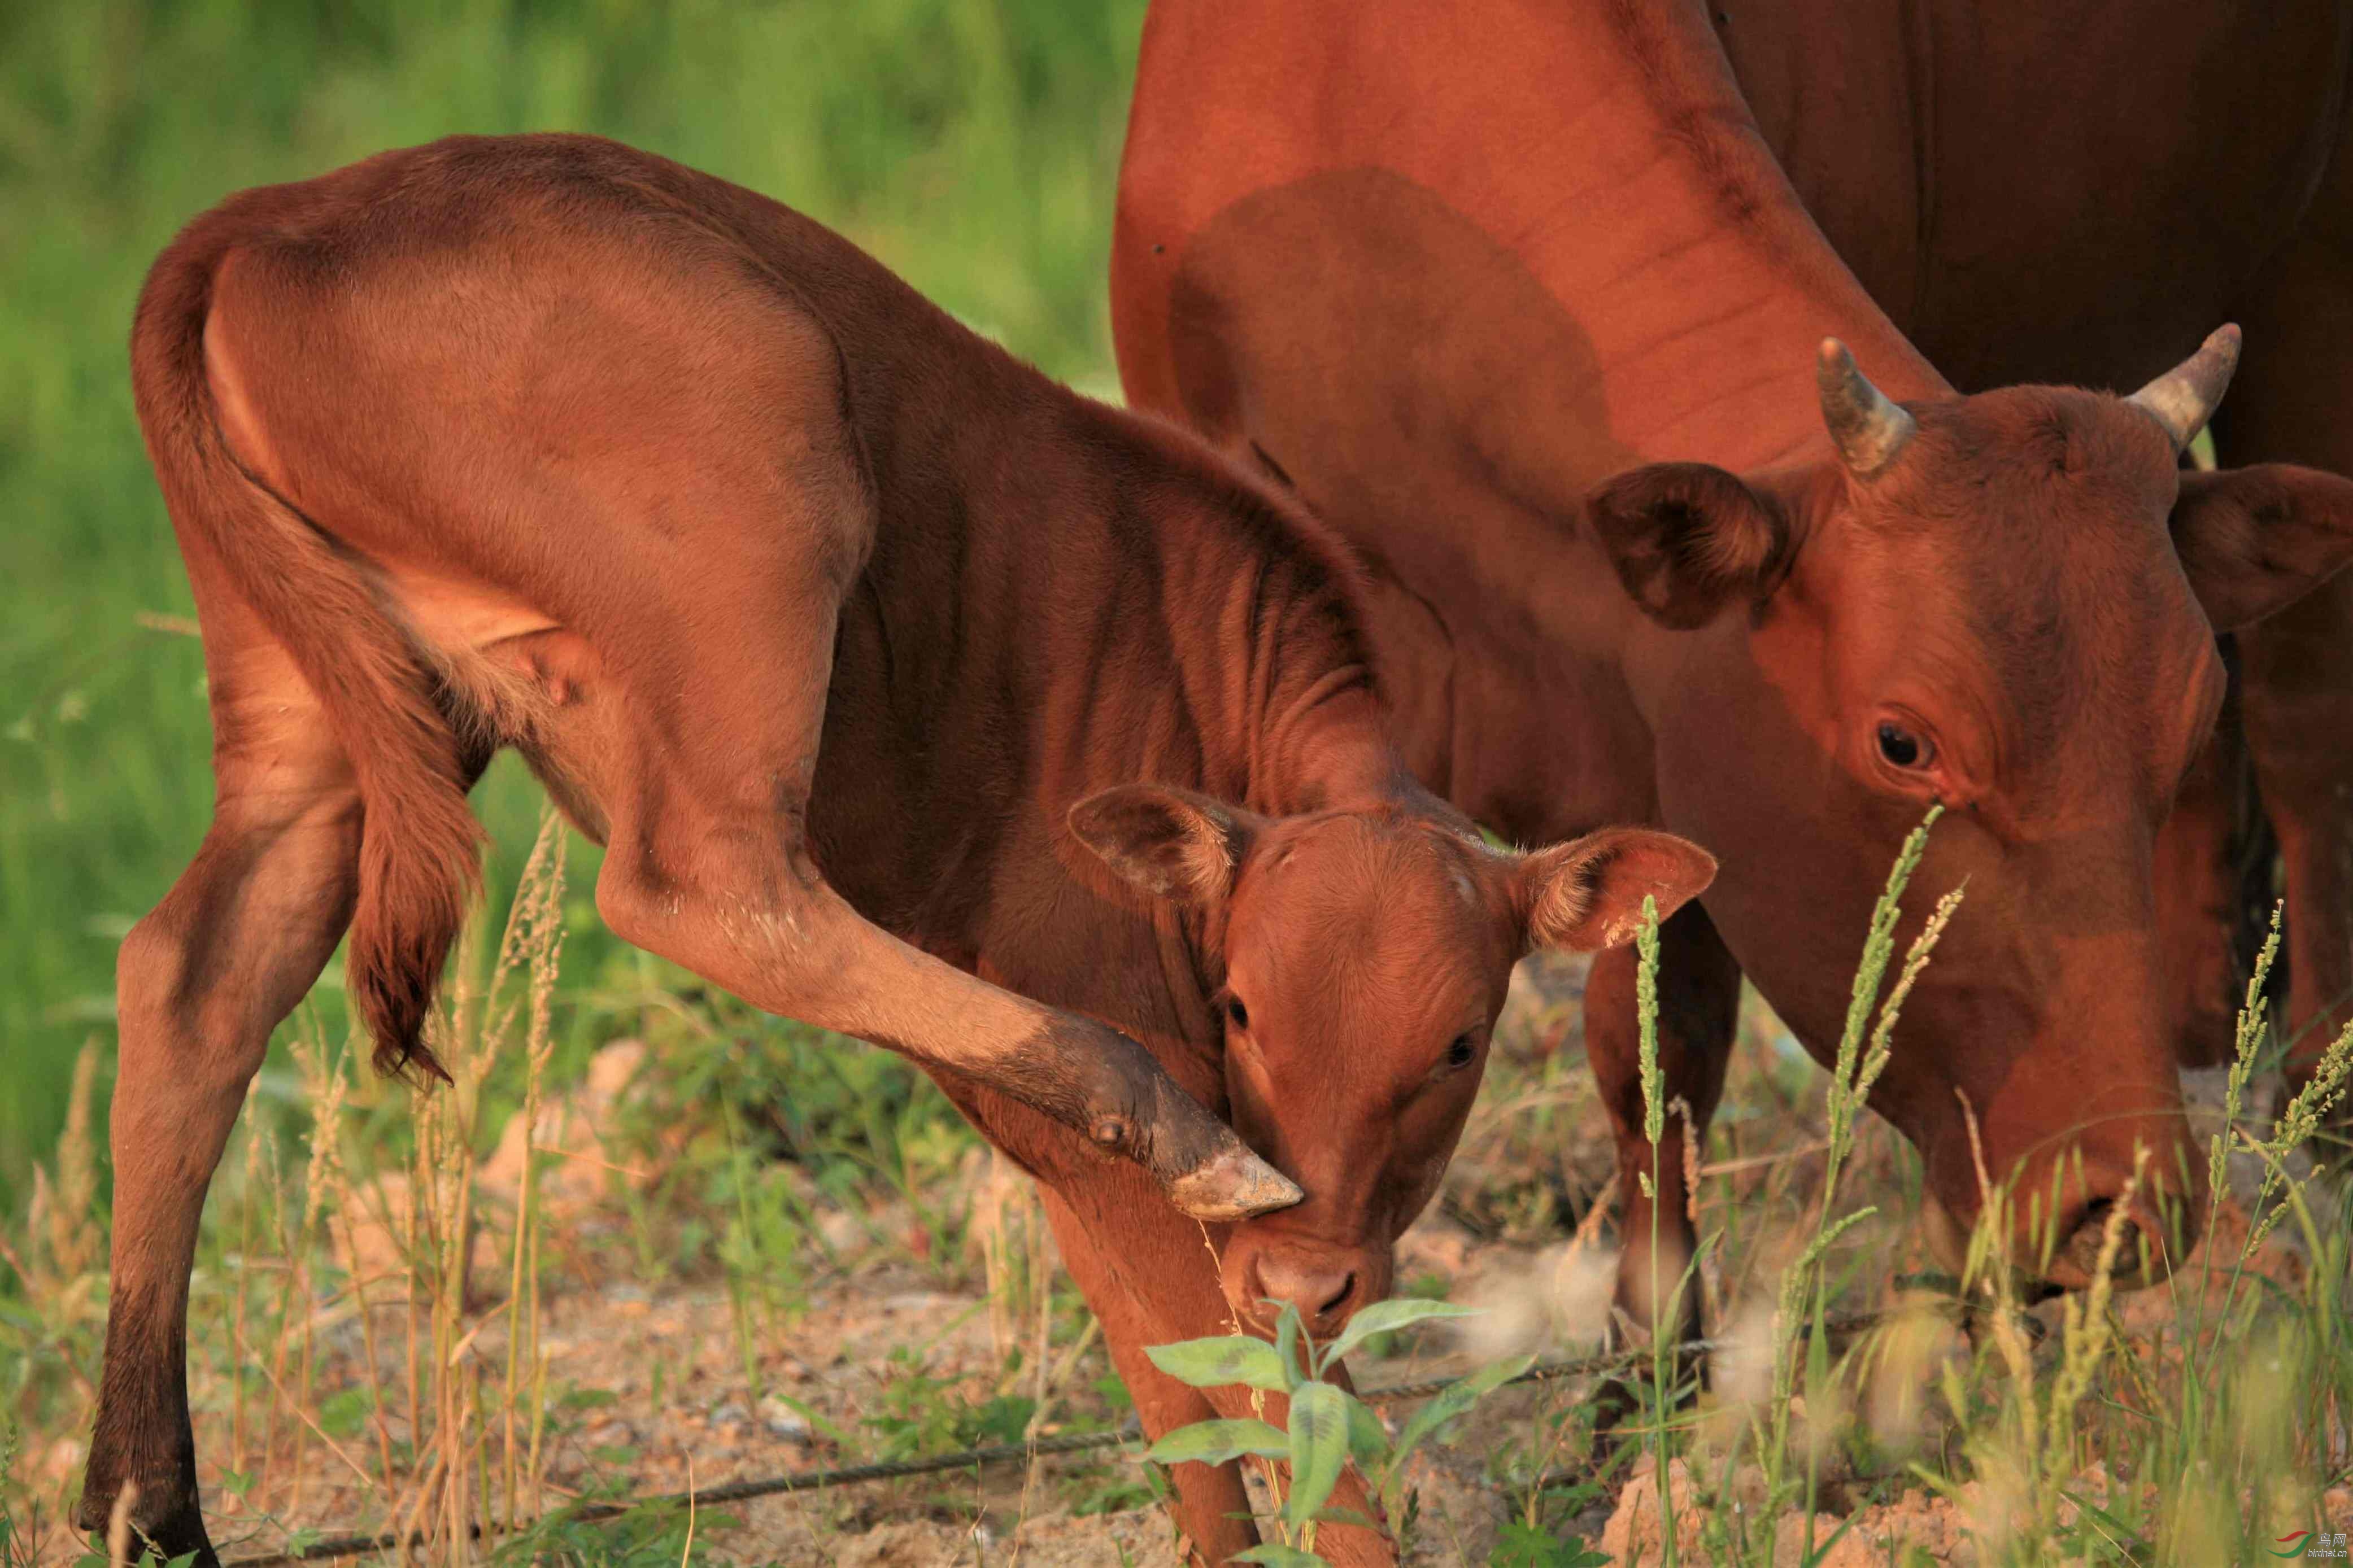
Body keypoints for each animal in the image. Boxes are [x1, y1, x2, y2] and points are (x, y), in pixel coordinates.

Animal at [78, 138, 1713, 1568]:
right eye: (1248, 1005)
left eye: (1458, 1043)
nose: (1314, 1265)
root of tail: (276, 211)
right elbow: (1276, 1405)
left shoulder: (1082, 1183)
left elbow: (1178, 1396)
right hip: (762, 490)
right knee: (701, 879)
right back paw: (1143, 1102)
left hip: (305, 704)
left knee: (191, 975)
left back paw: (146, 1507)